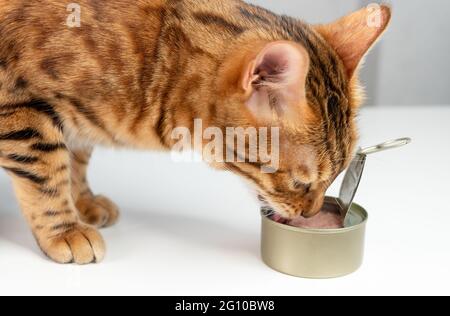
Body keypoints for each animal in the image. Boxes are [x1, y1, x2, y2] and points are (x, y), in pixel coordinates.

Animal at [0, 0, 390, 264]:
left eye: (336, 176)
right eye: (301, 183)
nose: (311, 214)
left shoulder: (75, 119)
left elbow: (77, 159)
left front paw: (83, 200)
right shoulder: (20, 109)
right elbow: (47, 175)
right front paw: (65, 229)